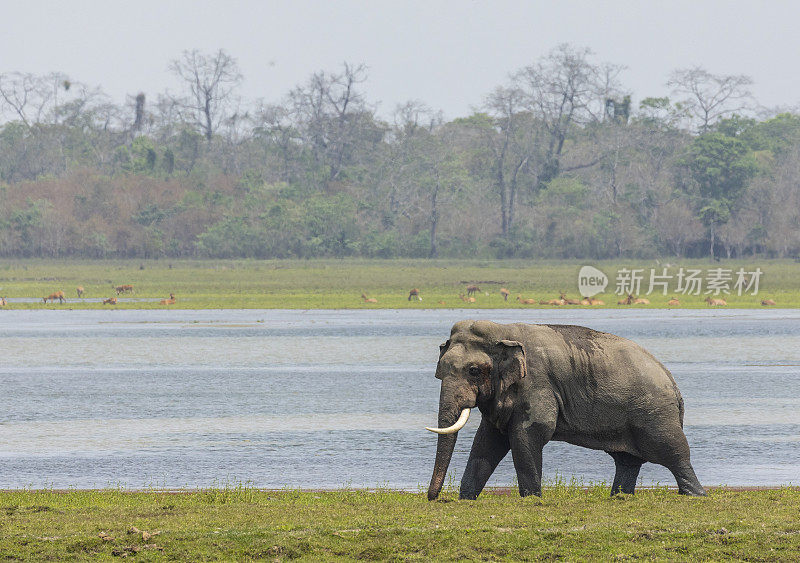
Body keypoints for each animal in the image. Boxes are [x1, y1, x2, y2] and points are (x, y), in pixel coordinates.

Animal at [428, 320, 704, 500]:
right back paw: (619, 497)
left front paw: (533, 499)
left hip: (654, 414)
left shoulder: (536, 382)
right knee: (627, 461)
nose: (434, 498)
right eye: (439, 372)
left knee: (674, 454)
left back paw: (694, 495)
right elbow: (488, 440)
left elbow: (529, 433)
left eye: (473, 370)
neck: (502, 330)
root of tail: (672, 382)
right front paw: (466, 498)